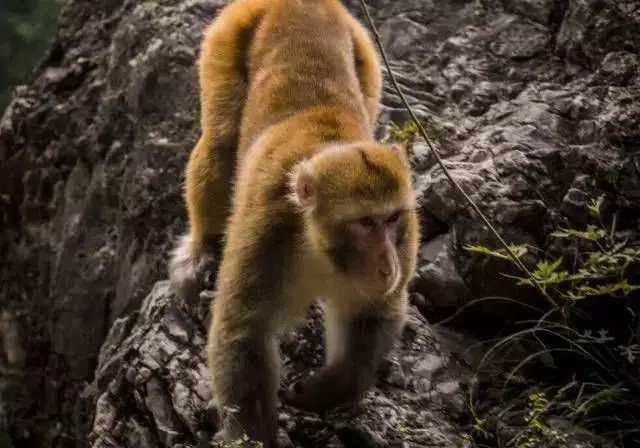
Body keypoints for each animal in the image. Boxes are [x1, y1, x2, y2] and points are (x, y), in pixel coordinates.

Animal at [169, 0, 420, 444]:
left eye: (391, 218)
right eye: (365, 222)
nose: (387, 265)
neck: (319, 245)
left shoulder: (408, 241)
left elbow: (373, 312)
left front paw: (327, 391)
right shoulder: (265, 230)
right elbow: (244, 330)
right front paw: (255, 437)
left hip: (365, 52)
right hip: (228, 34)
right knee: (220, 140)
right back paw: (202, 247)